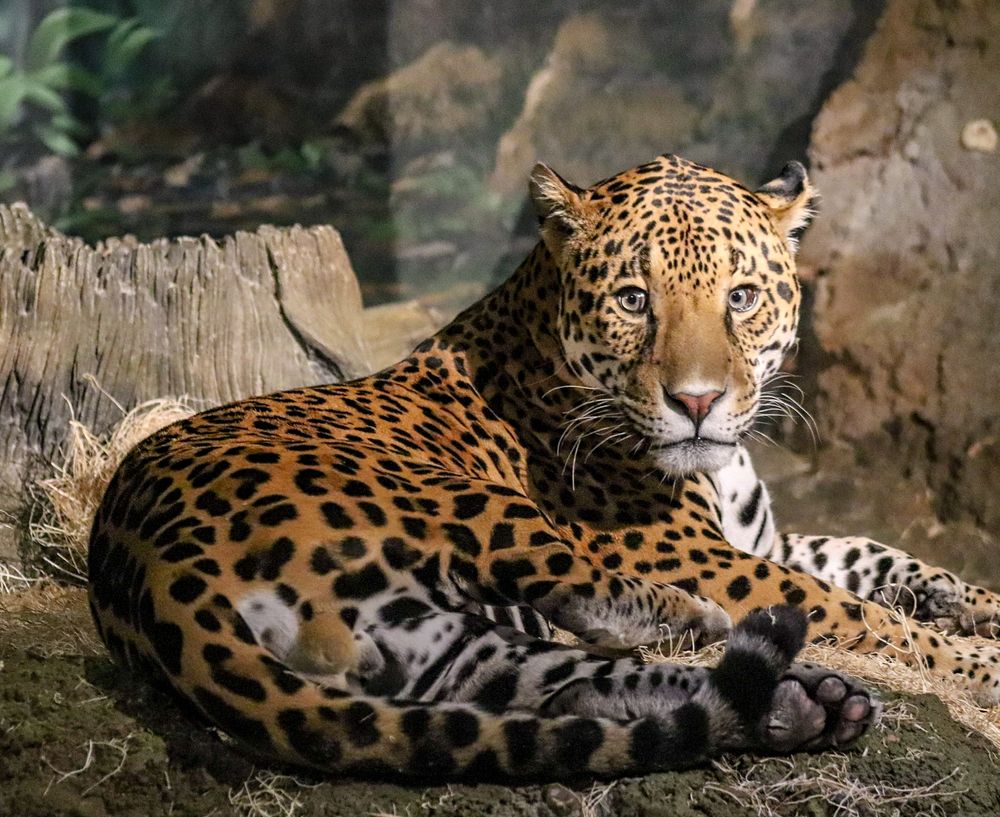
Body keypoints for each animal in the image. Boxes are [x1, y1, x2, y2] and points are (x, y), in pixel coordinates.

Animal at [88, 153, 1000, 779]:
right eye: (634, 300)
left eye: (740, 297)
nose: (698, 401)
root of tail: (139, 555)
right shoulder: (715, 559)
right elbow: (860, 611)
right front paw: (976, 663)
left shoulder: (760, 542)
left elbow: (871, 554)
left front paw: (973, 602)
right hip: (464, 497)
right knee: (595, 597)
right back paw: (722, 635)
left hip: (433, 637)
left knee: (556, 683)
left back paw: (797, 705)